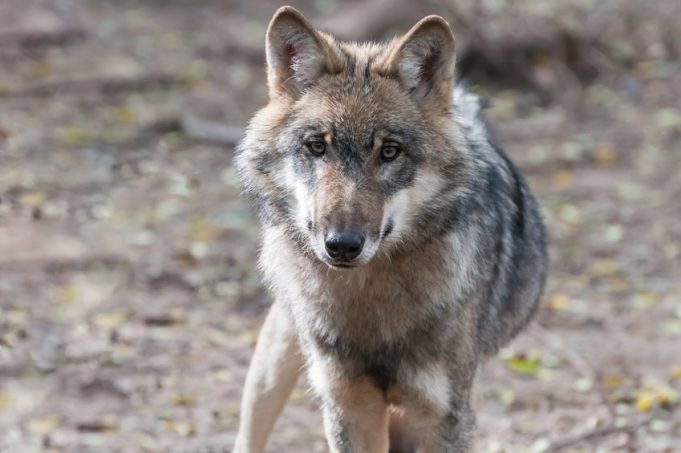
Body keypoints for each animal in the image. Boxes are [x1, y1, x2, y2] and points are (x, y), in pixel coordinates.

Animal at [233, 6, 547, 453]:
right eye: (317, 147)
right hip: (275, 362)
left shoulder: (443, 415)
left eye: (389, 151)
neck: (370, 301)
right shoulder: (348, 406)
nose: (342, 245)